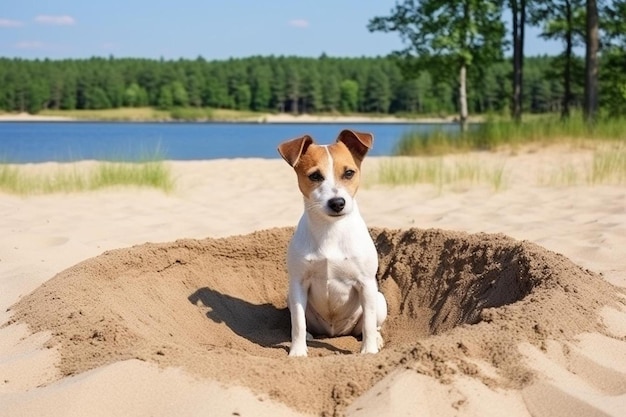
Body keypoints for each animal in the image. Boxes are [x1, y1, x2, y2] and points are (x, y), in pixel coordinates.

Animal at [276, 129, 386, 354]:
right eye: (315, 176)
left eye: (349, 173)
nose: (337, 203)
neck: (331, 229)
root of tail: (335, 332)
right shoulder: (298, 283)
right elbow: (298, 322)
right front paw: (297, 352)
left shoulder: (366, 283)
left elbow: (369, 323)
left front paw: (369, 351)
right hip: (290, 297)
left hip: (379, 300)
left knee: (372, 325)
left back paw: (377, 340)